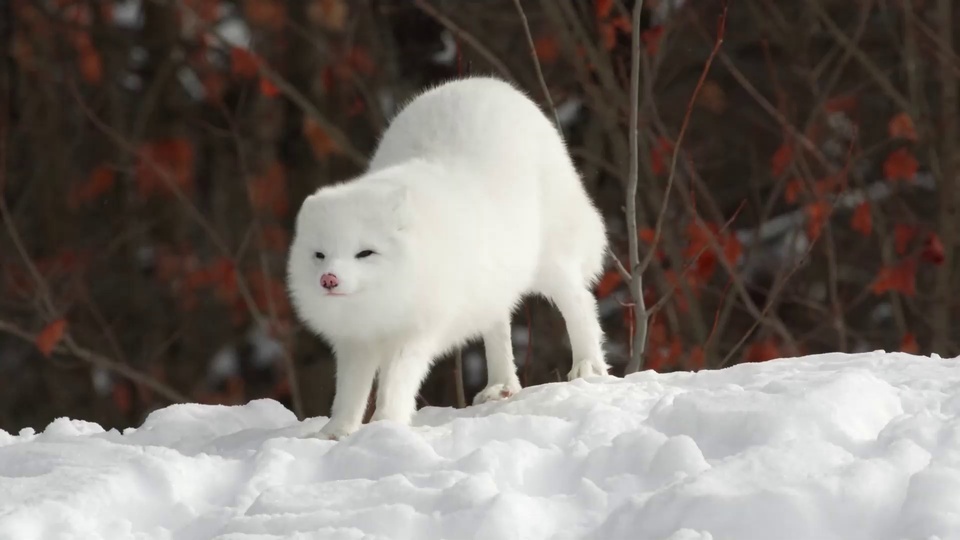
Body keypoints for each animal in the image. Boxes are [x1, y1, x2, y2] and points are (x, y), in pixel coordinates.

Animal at [288, 76, 612, 438]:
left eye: (365, 253)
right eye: (319, 255)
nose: (328, 279)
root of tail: (486, 83)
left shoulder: (414, 334)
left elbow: (395, 382)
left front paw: (385, 424)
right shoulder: (354, 343)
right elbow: (349, 392)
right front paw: (336, 432)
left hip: (551, 262)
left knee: (580, 304)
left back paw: (588, 366)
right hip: (492, 283)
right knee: (499, 325)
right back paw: (501, 385)